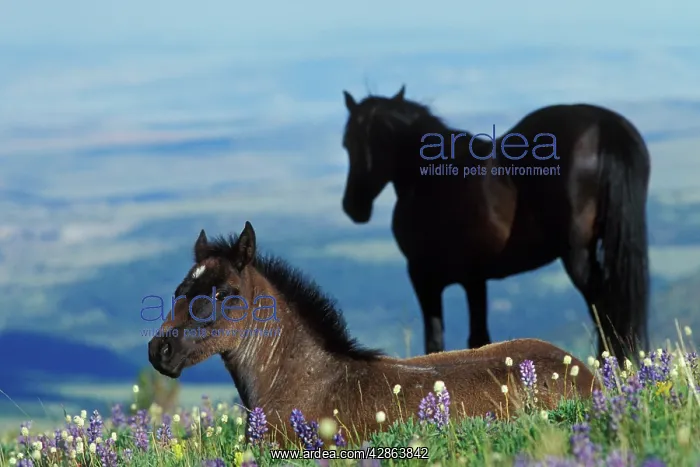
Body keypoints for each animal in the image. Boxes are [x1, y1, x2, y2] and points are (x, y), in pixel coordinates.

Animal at [340, 85, 650, 361]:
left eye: (349, 143)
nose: (352, 206)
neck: (428, 178)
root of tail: (603, 126)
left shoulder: (424, 277)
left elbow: (436, 340)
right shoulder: (474, 278)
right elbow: (479, 337)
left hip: (577, 254)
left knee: (603, 303)